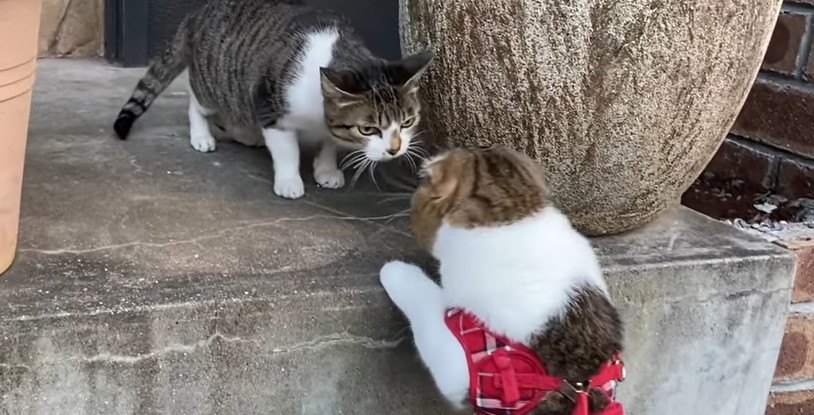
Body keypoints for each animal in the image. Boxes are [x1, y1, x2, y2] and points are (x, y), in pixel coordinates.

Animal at [116, 0, 434, 200]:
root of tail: (198, 12)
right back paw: (202, 135)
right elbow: (287, 152)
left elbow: (329, 143)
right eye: (369, 129)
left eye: (407, 122)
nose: (394, 149)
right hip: (213, 81)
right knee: (197, 102)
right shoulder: (271, 109)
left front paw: (326, 169)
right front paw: (289, 181)